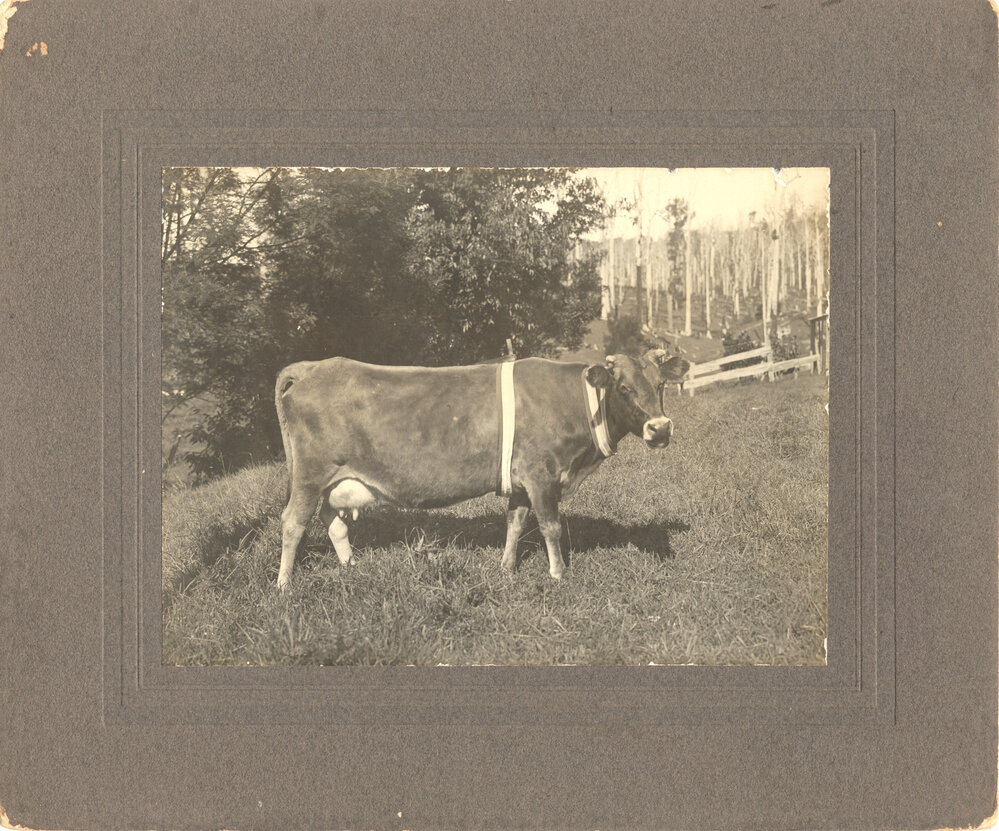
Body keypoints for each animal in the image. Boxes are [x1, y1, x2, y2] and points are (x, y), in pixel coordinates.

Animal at [273, 350, 690, 589]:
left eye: (660, 384)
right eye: (623, 387)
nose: (660, 428)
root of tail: (314, 367)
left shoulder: (521, 480)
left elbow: (515, 523)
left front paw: (506, 567)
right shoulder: (541, 474)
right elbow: (551, 527)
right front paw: (558, 575)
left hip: (333, 479)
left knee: (332, 521)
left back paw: (351, 567)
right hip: (310, 475)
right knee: (293, 522)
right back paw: (283, 585)